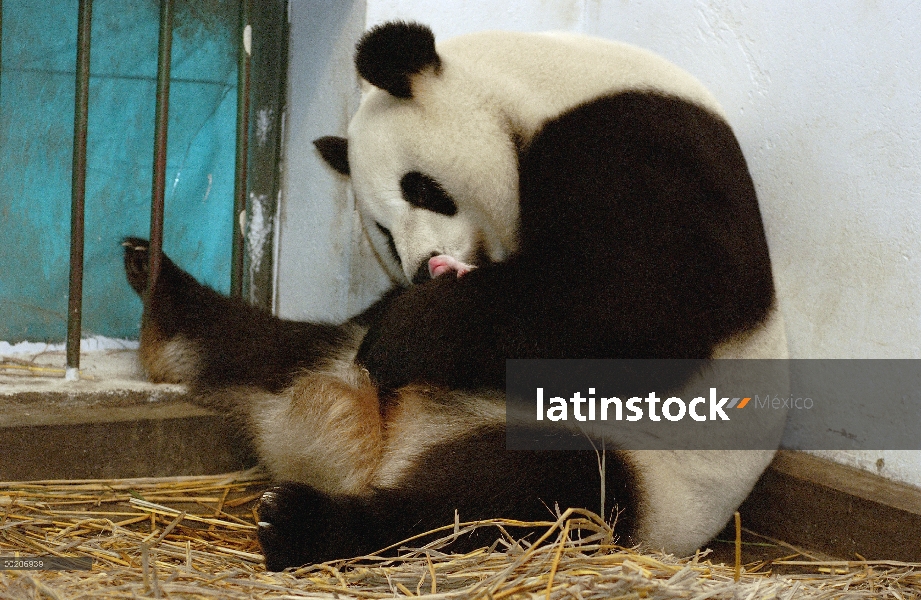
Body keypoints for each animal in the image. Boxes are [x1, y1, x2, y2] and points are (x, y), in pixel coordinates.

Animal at [122, 19, 784, 572]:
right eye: (383, 233)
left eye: (421, 189)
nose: (421, 270)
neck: (534, 87)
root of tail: (382, 446)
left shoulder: (644, 141)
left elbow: (644, 302)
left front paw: (411, 333)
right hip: (327, 357)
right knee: (264, 344)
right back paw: (160, 287)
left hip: (633, 463)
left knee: (506, 499)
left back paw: (304, 524)